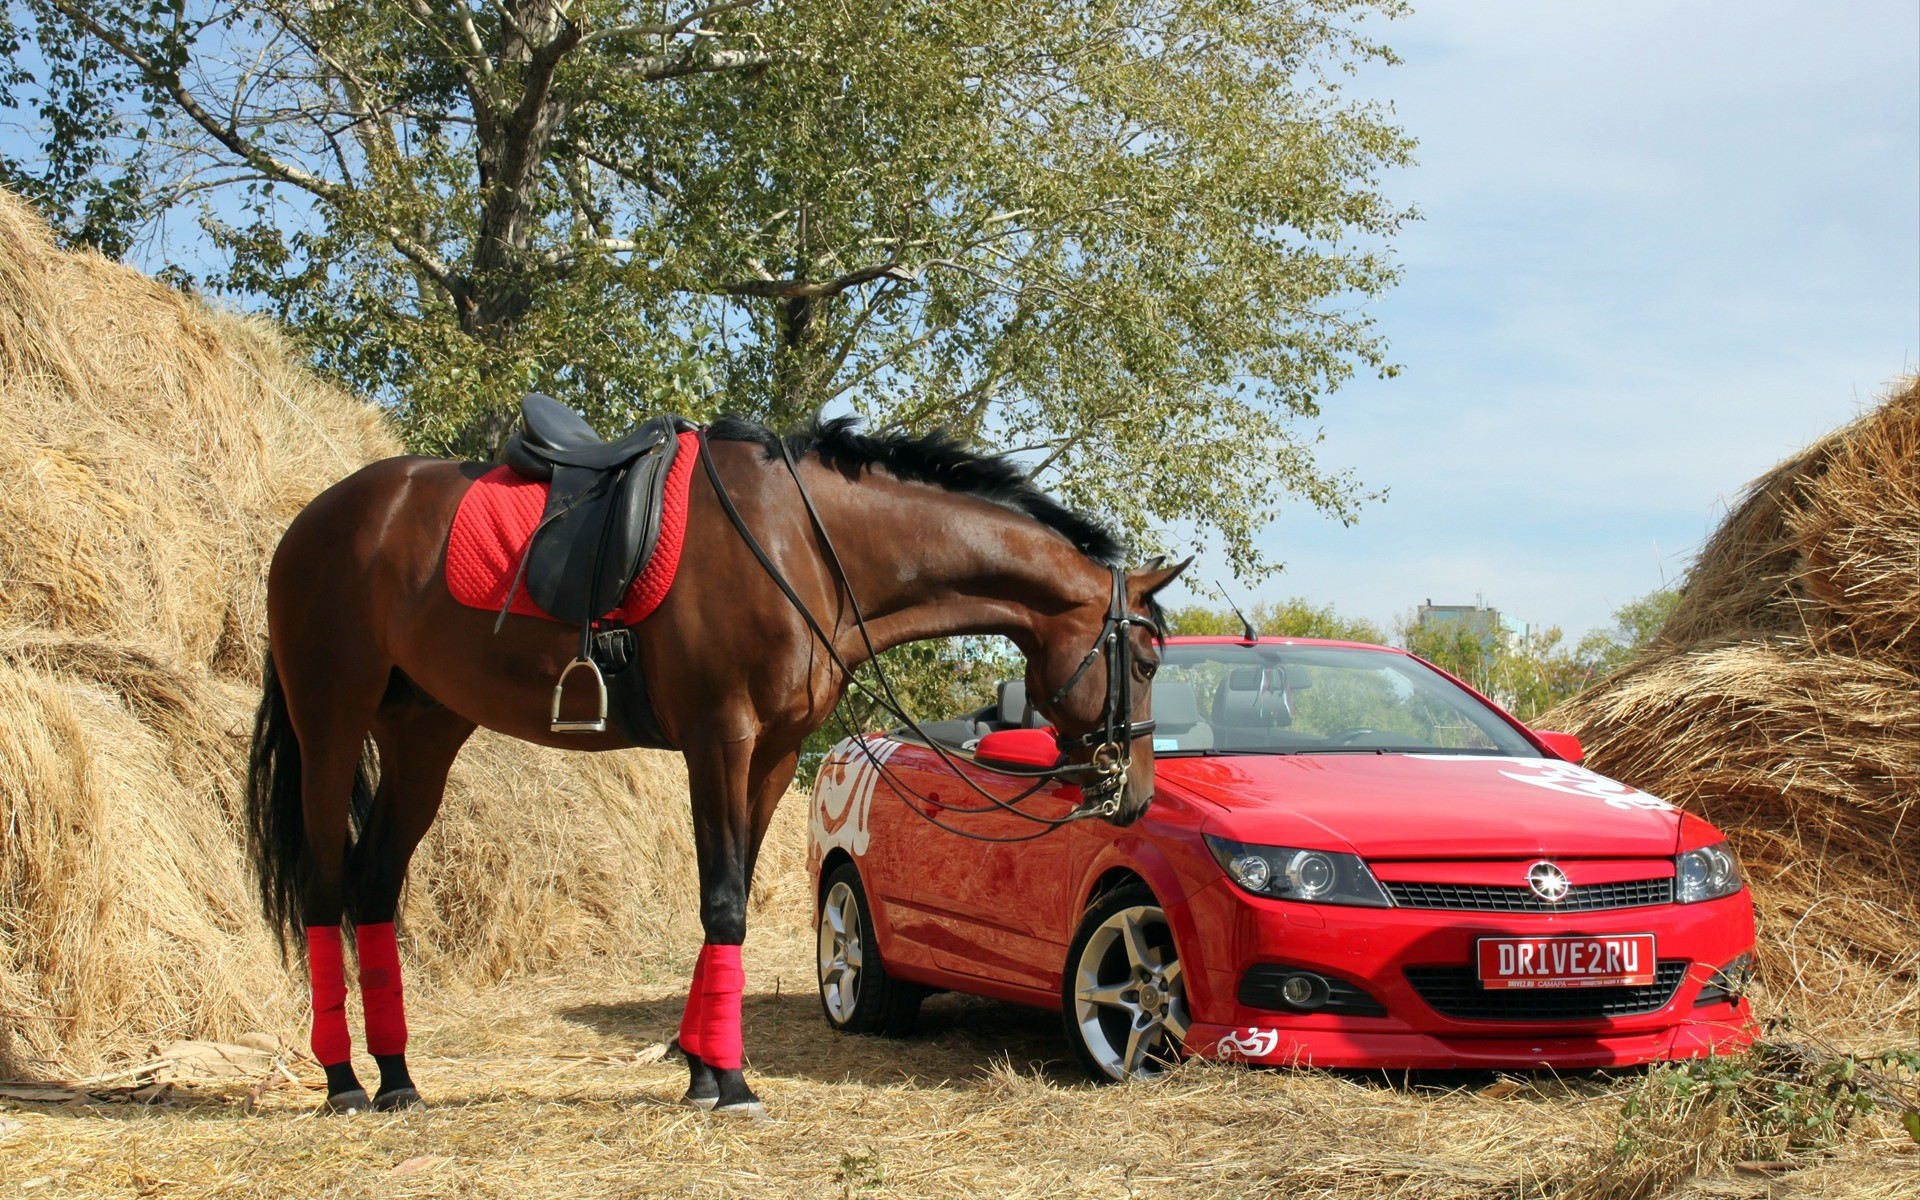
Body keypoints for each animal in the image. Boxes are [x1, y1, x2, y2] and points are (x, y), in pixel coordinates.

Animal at [247, 408, 1190, 1113]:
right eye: (1145, 659)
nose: (1136, 796)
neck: (808, 546)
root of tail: (315, 520)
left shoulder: (771, 754)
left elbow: (724, 903)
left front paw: (703, 1069)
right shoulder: (720, 739)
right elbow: (725, 899)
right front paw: (728, 1080)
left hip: (423, 735)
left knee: (374, 887)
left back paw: (398, 1080)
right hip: (331, 726)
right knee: (325, 888)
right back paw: (342, 1081)